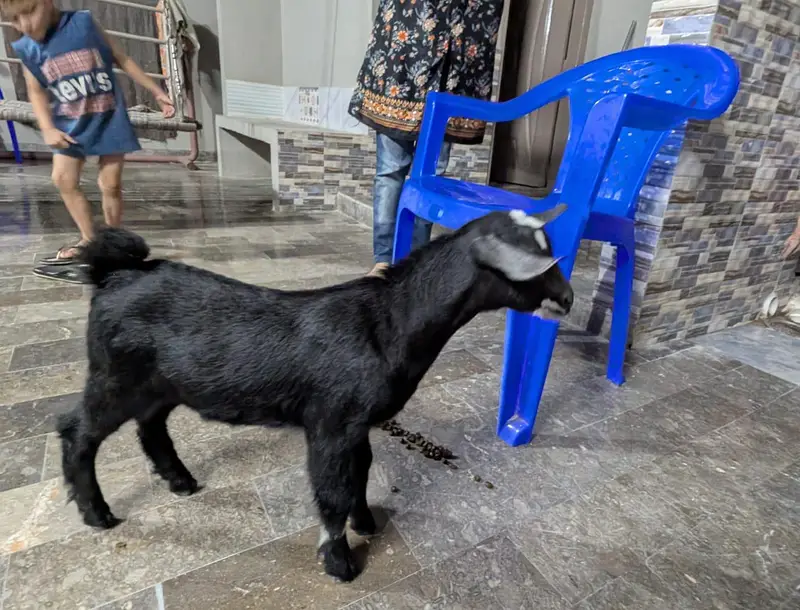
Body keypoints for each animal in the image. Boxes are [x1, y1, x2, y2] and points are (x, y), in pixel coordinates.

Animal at [58, 205, 573, 582]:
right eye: (535, 264)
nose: (567, 300)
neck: (387, 325)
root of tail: (114, 274)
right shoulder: (330, 423)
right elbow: (332, 490)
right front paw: (340, 562)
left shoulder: (357, 424)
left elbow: (359, 474)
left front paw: (365, 523)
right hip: (114, 376)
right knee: (77, 430)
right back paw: (96, 513)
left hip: (158, 383)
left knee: (151, 425)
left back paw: (180, 481)